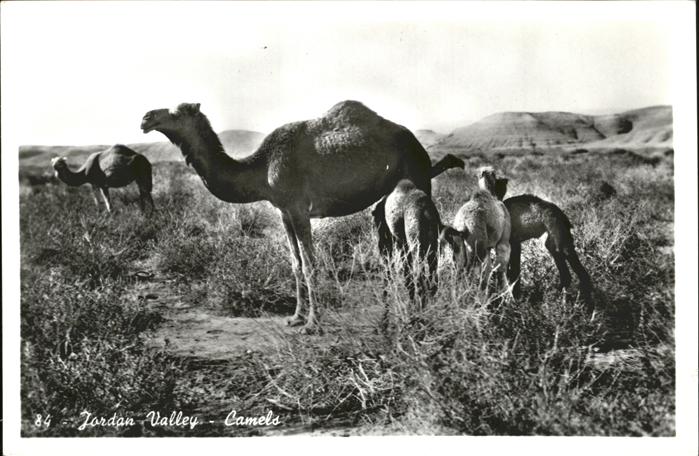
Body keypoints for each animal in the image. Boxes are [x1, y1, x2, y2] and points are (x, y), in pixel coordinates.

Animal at [141, 101, 433, 333]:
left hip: (418, 180)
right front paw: (296, 317)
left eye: (176, 112)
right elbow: (295, 263)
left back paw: (418, 316)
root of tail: (418, 145)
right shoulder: (284, 211)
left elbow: (310, 265)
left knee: (422, 250)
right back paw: (397, 317)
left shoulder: (299, 208)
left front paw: (313, 324)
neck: (262, 167)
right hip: (387, 199)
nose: (146, 117)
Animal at [492, 177, 593, 310]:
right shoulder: (515, 243)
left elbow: (512, 273)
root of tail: (562, 215)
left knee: (573, 273)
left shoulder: (512, 243)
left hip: (559, 242)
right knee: (572, 274)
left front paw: (515, 301)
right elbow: (511, 272)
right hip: (554, 244)